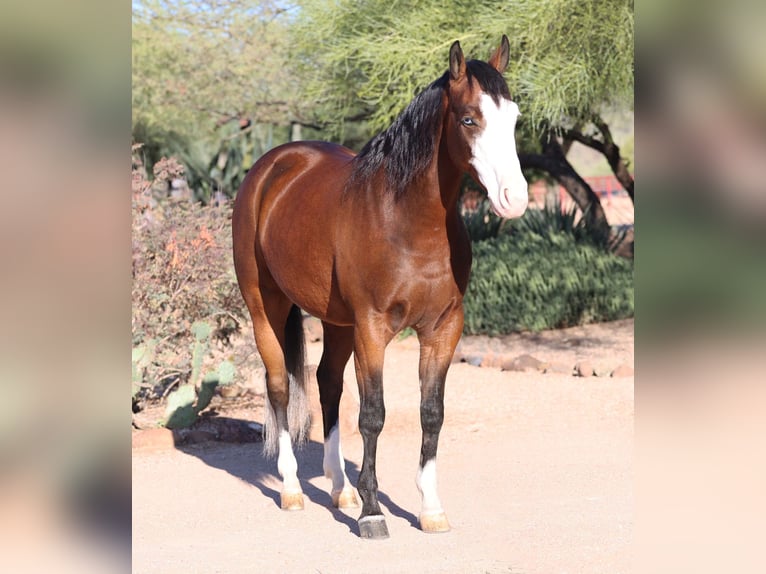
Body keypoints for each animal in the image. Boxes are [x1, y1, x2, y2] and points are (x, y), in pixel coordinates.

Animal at [232, 35, 528, 539]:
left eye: (514, 118)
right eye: (469, 119)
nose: (515, 198)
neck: (407, 221)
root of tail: (271, 166)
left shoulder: (443, 329)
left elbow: (432, 413)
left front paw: (430, 508)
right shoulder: (372, 328)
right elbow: (373, 415)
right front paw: (373, 512)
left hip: (336, 322)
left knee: (327, 383)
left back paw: (340, 488)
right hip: (264, 308)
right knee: (278, 387)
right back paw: (292, 490)